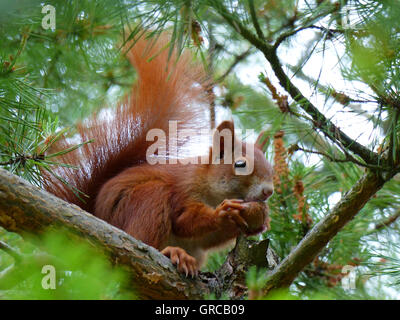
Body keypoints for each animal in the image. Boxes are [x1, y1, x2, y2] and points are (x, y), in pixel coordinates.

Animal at [43, 33, 276, 276]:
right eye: (240, 164)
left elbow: (211, 238)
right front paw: (221, 213)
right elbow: (184, 221)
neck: (212, 190)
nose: (268, 191)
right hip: (142, 202)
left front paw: (261, 219)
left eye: (272, 169)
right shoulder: (184, 190)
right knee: (143, 236)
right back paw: (173, 253)